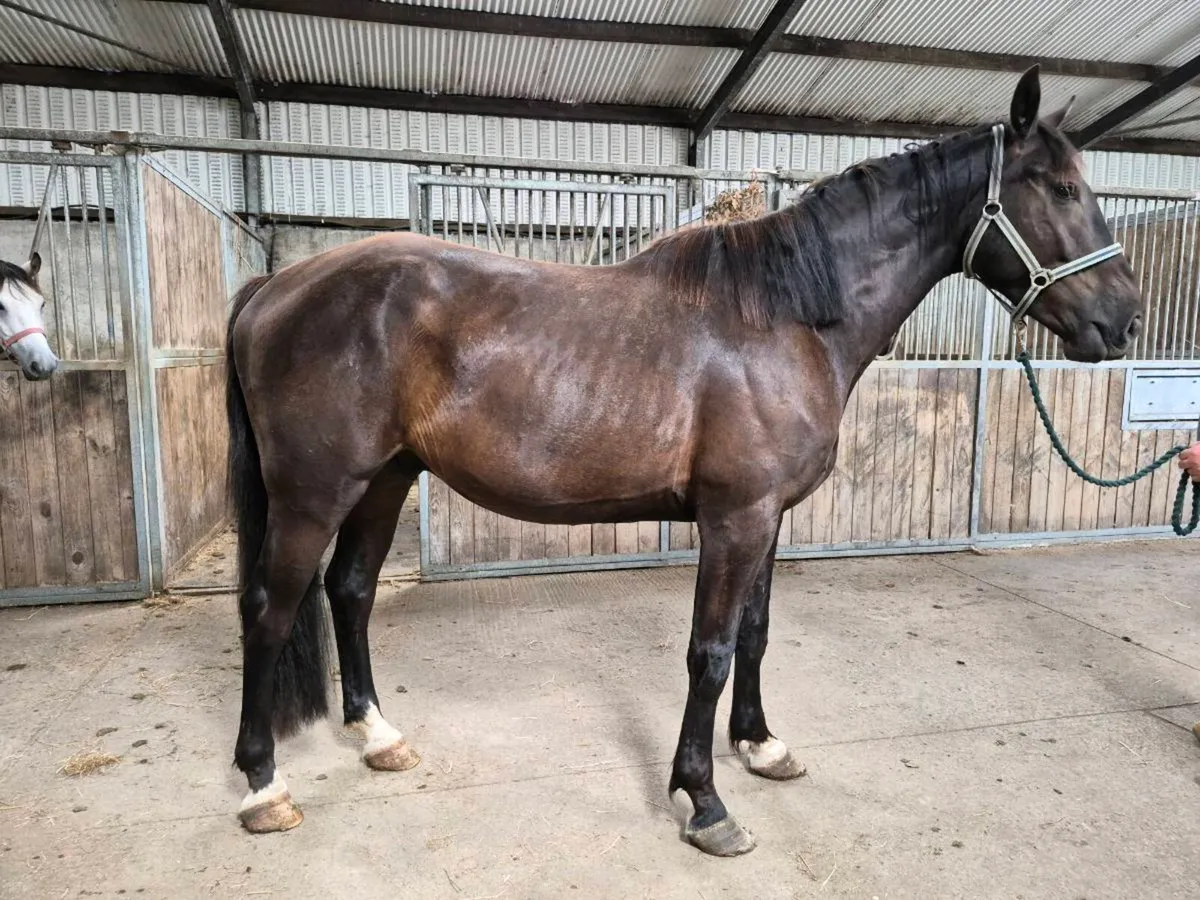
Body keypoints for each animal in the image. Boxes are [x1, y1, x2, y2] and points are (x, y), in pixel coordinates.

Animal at [224, 66, 1143, 856]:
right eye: (1063, 189)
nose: (1126, 319)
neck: (787, 316)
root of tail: (275, 288)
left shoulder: (769, 516)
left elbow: (756, 634)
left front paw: (762, 747)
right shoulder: (734, 519)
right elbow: (711, 650)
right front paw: (704, 802)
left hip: (383, 481)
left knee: (349, 591)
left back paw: (377, 736)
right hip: (313, 493)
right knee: (271, 609)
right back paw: (262, 785)